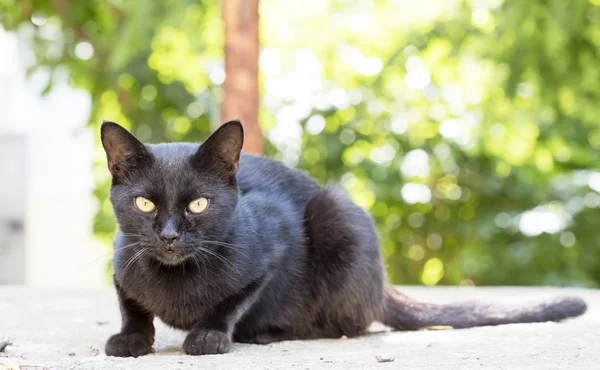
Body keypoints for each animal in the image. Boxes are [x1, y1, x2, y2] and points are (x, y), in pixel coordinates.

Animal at [102, 120, 584, 356]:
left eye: (199, 205)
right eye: (145, 204)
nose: (168, 236)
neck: (176, 279)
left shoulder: (271, 251)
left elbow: (234, 301)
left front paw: (210, 336)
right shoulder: (121, 261)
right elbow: (132, 307)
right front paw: (130, 340)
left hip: (337, 216)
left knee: (344, 325)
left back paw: (268, 334)